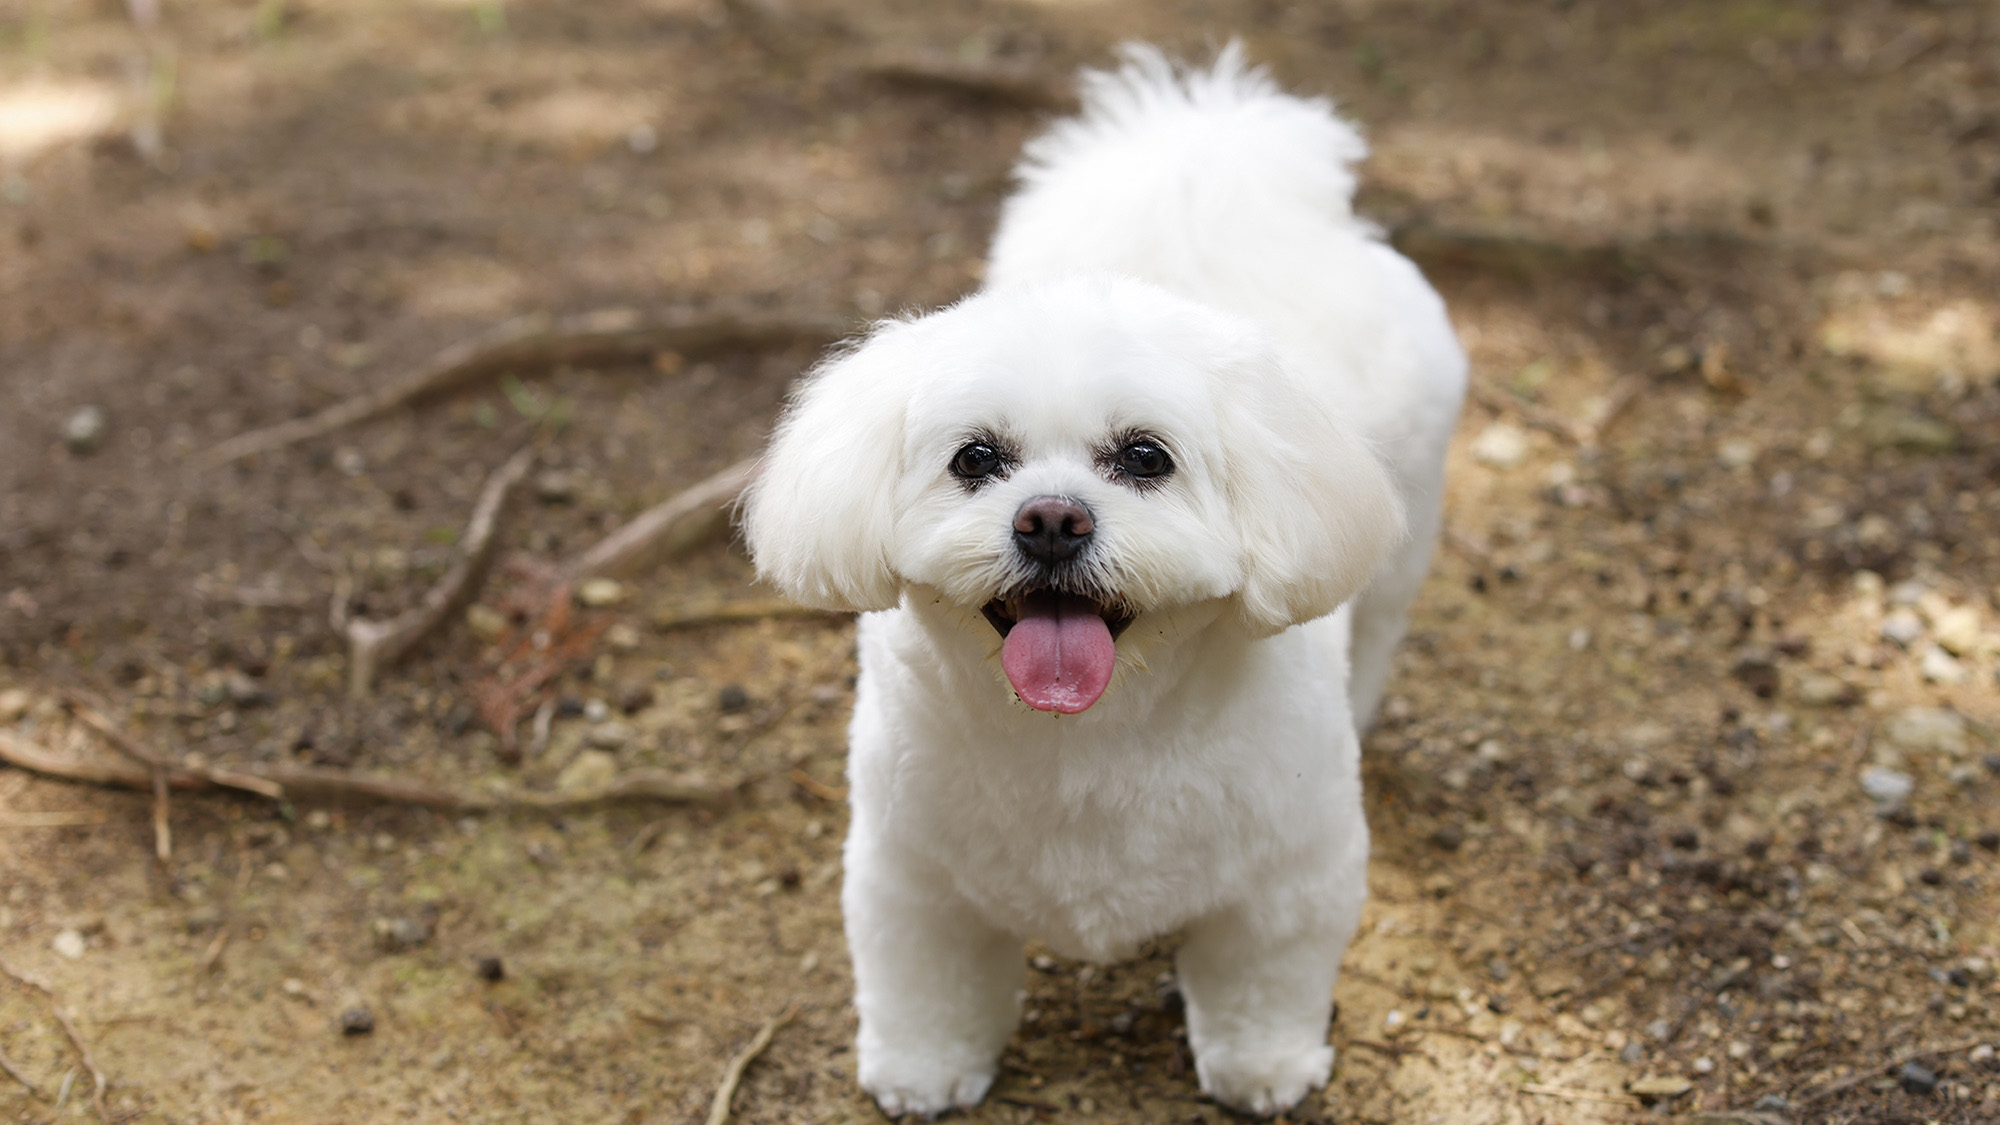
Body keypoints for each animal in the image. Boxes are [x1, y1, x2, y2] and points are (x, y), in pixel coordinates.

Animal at [744, 41, 1464, 1112]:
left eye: (1144, 457)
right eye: (975, 458)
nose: (1051, 519)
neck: (1088, 736)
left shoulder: (1290, 877)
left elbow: (1262, 980)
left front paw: (1263, 1068)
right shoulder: (912, 876)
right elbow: (925, 980)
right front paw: (924, 1069)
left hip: (1400, 542)